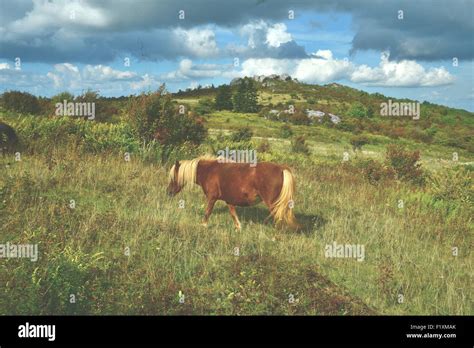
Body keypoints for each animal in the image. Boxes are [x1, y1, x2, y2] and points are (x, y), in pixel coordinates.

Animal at [168, 156, 298, 230]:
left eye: (173, 176)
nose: (168, 192)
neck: (209, 171)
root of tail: (281, 168)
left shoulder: (212, 198)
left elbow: (207, 212)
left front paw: (203, 225)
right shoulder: (229, 200)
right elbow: (233, 214)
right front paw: (238, 227)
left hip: (273, 203)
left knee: (278, 216)